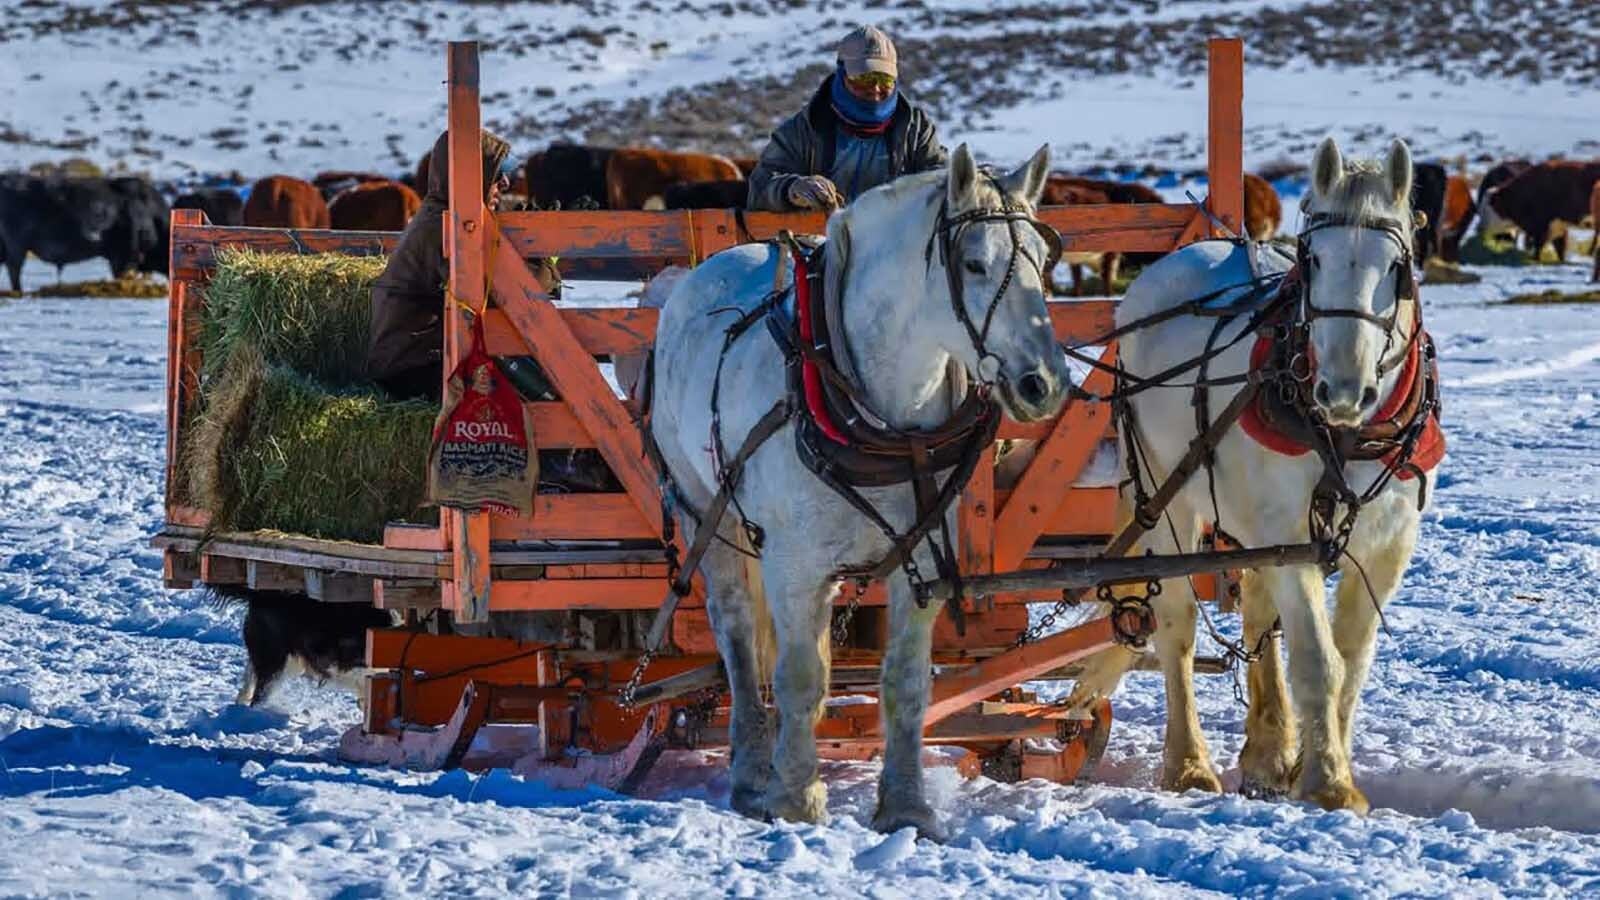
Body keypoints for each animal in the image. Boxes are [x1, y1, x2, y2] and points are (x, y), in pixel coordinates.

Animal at [650, 144, 1070, 837]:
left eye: (1042, 258)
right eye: (975, 263)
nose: (1046, 383)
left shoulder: (923, 560)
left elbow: (905, 683)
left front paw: (906, 808)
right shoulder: (794, 565)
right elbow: (801, 677)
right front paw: (797, 798)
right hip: (708, 514)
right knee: (737, 635)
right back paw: (751, 772)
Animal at [1066, 137, 1439, 814]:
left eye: (1395, 267)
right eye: (1312, 260)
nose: (1343, 390)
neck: (1345, 431)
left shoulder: (1389, 544)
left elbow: (1352, 660)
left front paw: (1318, 764)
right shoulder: (1293, 534)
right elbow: (1319, 659)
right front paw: (1330, 782)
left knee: (1256, 610)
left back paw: (1267, 751)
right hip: (1165, 496)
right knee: (1178, 627)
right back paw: (1189, 764)